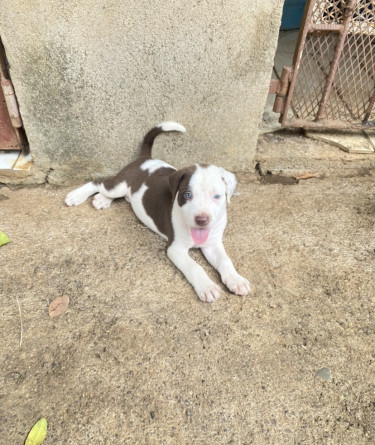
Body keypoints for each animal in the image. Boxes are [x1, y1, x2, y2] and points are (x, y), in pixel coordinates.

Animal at [66, 121, 251, 302]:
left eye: (217, 196)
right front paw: (207, 287)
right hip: (119, 184)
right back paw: (76, 196)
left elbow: (225, 261)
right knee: (98, 183)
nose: (201, 220)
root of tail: (144, 159)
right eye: (187, 195)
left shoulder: (213, 244)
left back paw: (102, 200)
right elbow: (194, 267)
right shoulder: (175, 248)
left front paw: (236, 280)